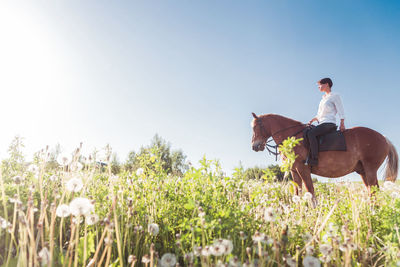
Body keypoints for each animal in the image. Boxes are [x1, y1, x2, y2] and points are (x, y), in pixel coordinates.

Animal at [252, 113, 398, 203]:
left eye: (255, 127)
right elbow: (297, 192)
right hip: (363, 171)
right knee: (372, 191)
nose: (254, 146)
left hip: (370, 169)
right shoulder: (294, 171)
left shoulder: (303, 168)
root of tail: (384, 138)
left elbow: (310, 191)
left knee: (374, 191)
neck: (292, 137)